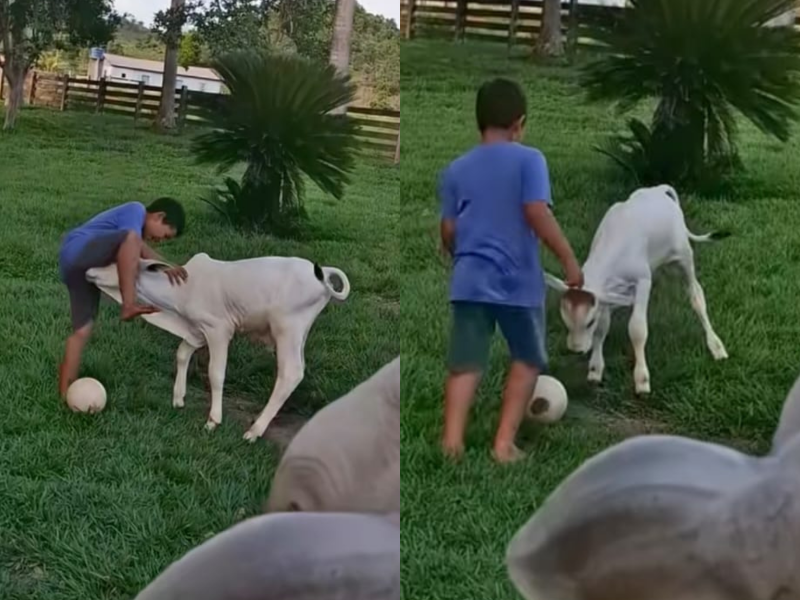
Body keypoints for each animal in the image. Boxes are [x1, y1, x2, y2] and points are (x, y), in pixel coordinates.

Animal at [86, 253, 352, 440]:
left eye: (115, 261)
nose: (89, 270)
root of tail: (321, 273)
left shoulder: (219, 330)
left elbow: (216, 373)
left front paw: (213, 420)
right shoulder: (197, 331)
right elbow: (182, 354)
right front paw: (178, 399)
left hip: (287, 329)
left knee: (291, 373)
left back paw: (254, 431)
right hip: (299, 334)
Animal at [548, 185, 728, 396]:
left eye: (589, 321)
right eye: (565, 319)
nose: (575, 349)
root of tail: (660, 189)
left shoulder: (642, 280)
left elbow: (637, 329)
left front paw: (642, 379)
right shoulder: (606, 295)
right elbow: (603, 328)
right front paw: (595, 369)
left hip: (684, 257)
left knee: (697, 297)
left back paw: (716, 346)